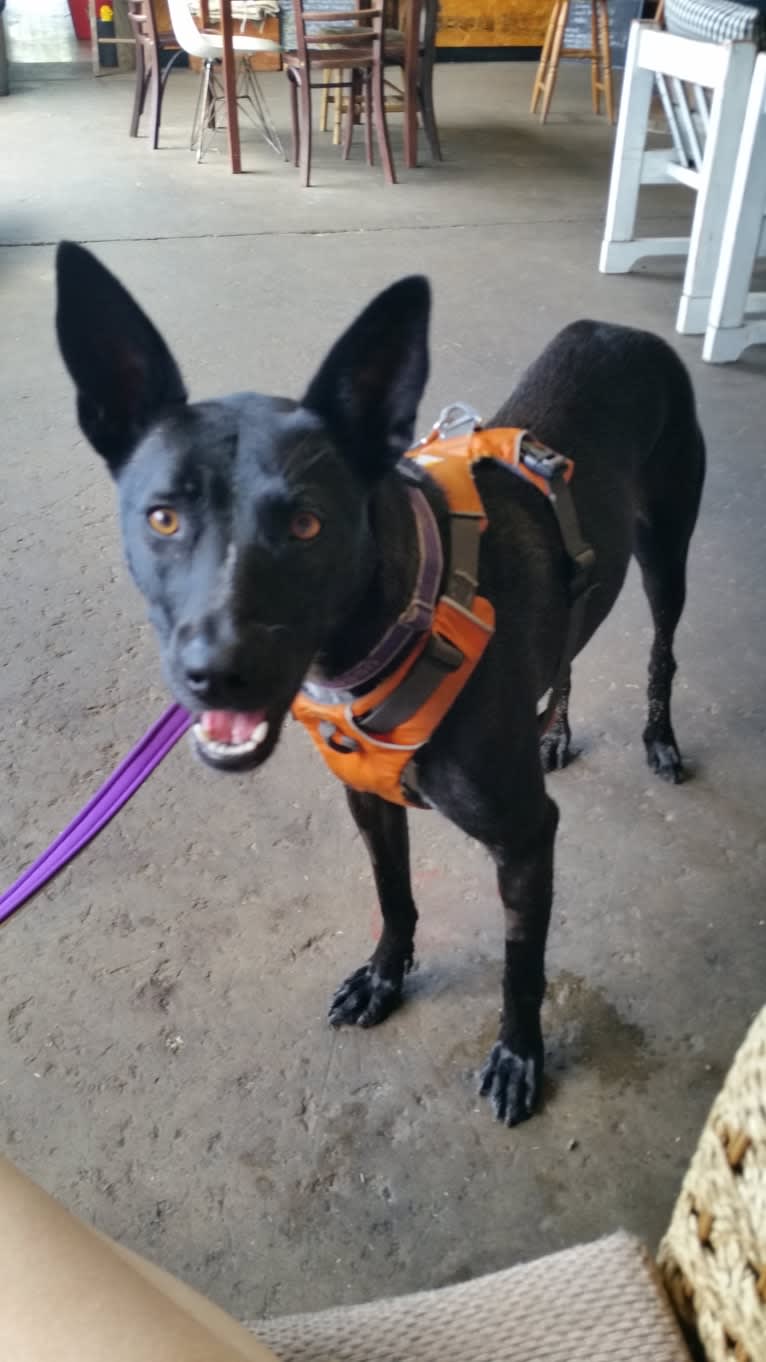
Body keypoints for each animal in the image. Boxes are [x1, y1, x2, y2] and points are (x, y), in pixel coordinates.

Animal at [55, 239, 703, 1122]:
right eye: (163, 517)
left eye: (307, 523)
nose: (217, 675)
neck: (403, 617)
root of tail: (623, 329)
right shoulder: (367, 799)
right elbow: (394, 898)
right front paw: (384, 979)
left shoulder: (528, 838)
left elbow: (522, 969)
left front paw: (519, 1056)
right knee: (570, 643)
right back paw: (558, 728)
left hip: (666, 554)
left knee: (662, 651)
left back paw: (660, 740)